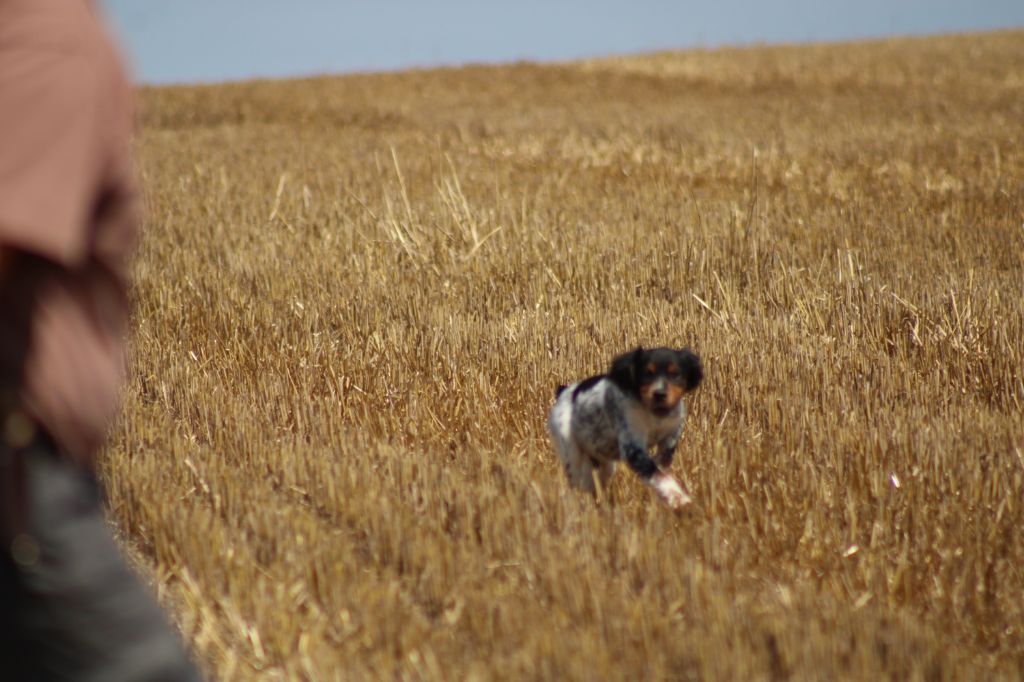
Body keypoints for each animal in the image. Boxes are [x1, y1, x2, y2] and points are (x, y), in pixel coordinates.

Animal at [548, 348, 700, 507]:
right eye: (647, 373)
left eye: (675, 374)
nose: (659, 394)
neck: (654, 414)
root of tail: (563, 392)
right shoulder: (632, 448)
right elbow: (655, 473)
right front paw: (678, 496)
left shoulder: (670, 438)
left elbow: (661, 465)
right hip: (572, 455)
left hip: (604, 465)